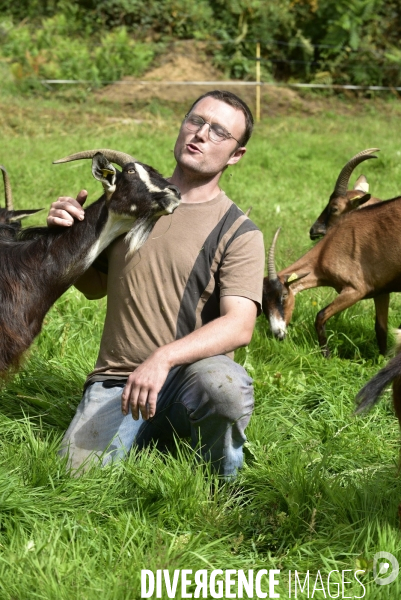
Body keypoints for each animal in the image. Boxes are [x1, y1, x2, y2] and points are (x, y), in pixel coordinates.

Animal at [262, 195, 401, 356]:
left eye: (284, 295)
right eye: (263, 303)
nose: (278, 334)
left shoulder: (355, 290)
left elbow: (320, 316)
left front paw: (326, 356)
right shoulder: (381, 291)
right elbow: (381, 328)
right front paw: (383, 357)